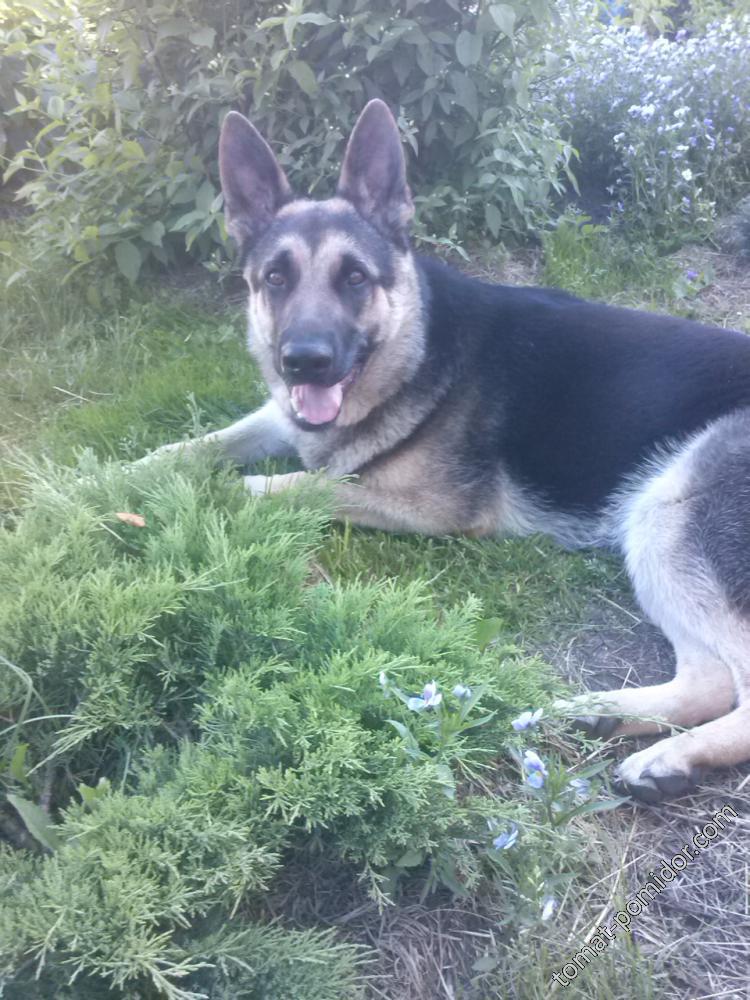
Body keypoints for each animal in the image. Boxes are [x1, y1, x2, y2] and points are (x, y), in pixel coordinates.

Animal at [154, 99, 750, 803]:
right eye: (276, 278)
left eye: (354, 279)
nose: (303, 361)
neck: (416, 346)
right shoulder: (283, 415)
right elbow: (193, 447)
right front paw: (111, 477)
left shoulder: (430, 507)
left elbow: (292, 484)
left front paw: (185, 493)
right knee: (710, 680)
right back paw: (607, 715)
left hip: (668, 509)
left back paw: (669, 756)